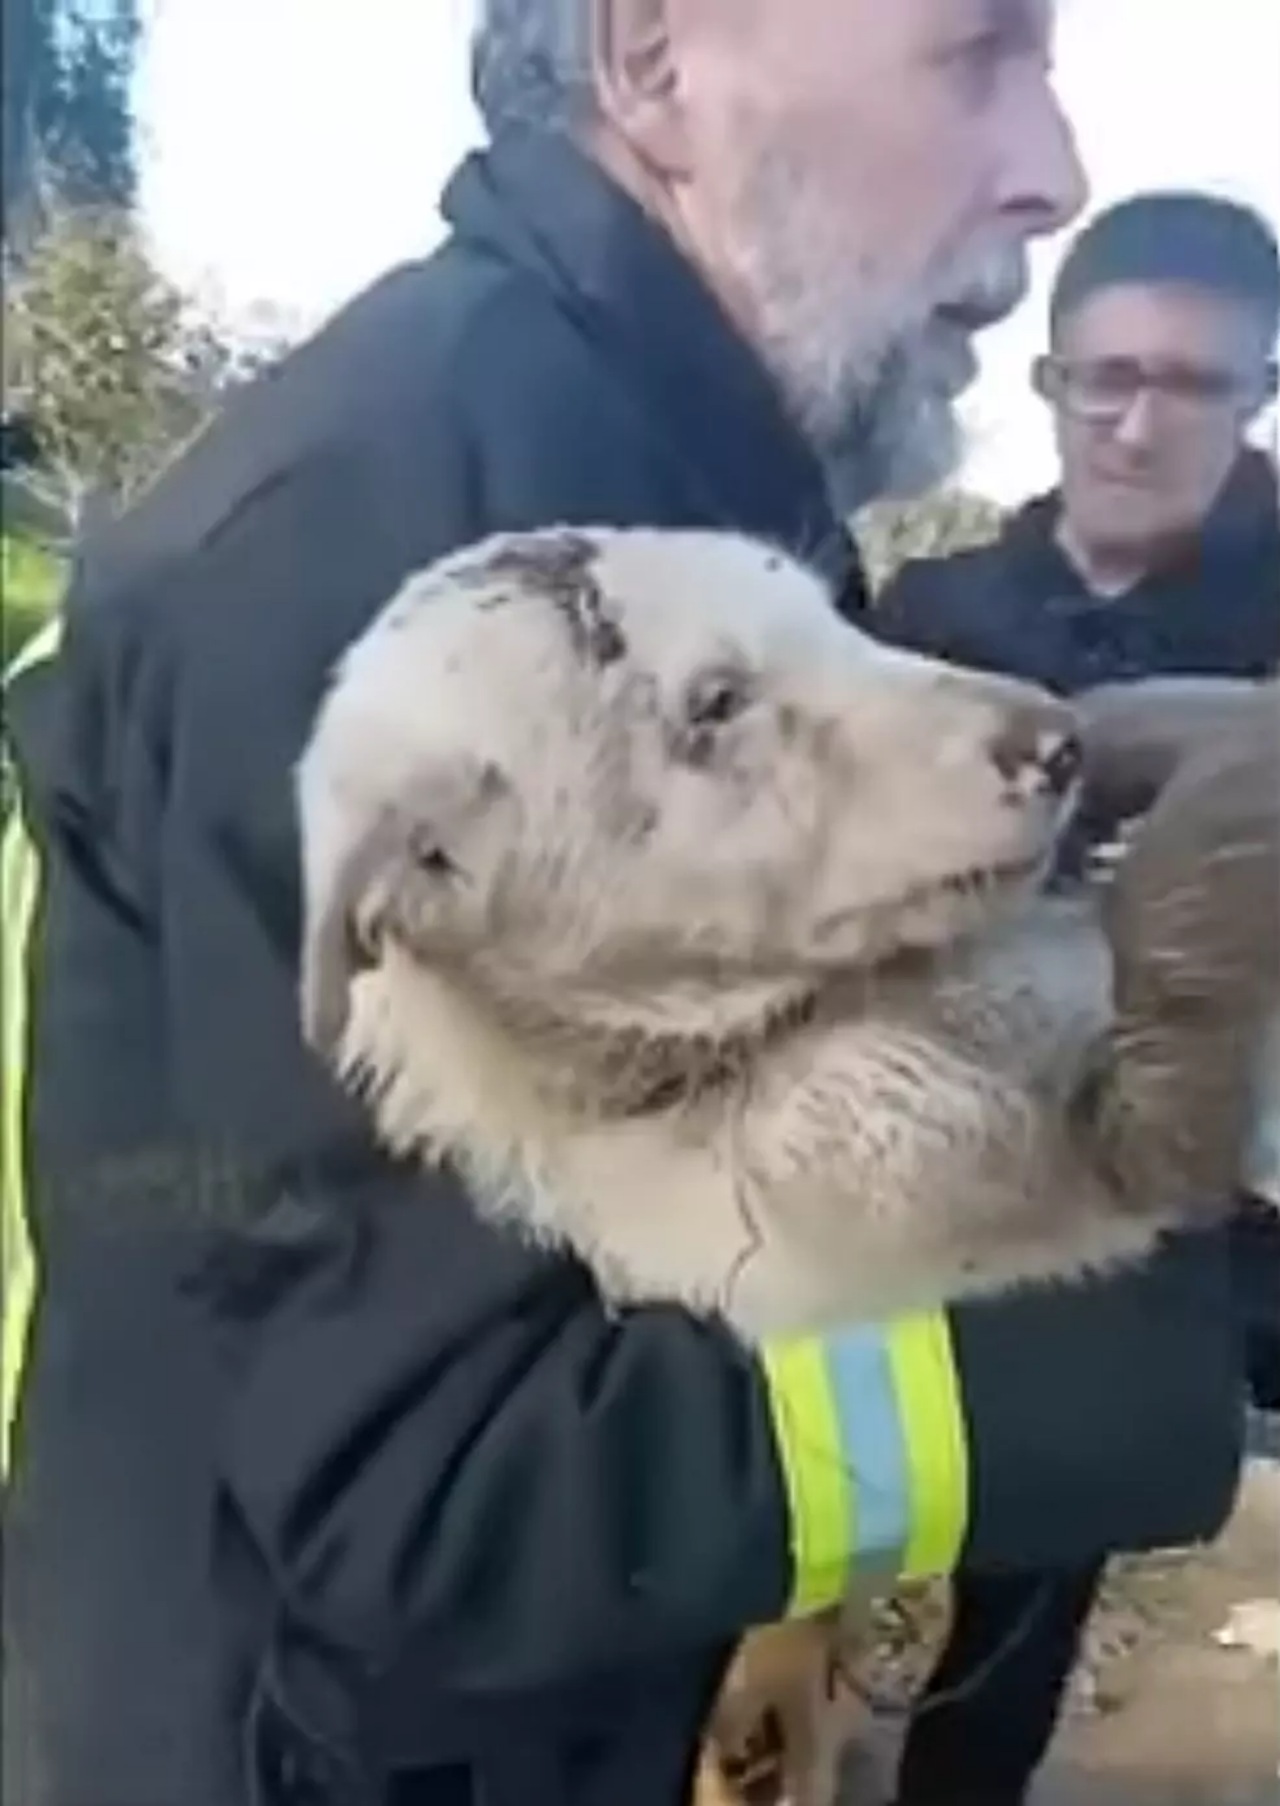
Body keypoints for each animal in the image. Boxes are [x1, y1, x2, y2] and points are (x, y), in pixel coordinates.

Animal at [292, 527, 1278, 1798]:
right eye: (713, 703)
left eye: (836, 617)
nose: (1056, 740)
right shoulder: (933, 1197)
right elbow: (1165, 1067)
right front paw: (1228, 793)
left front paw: (1162, 728)